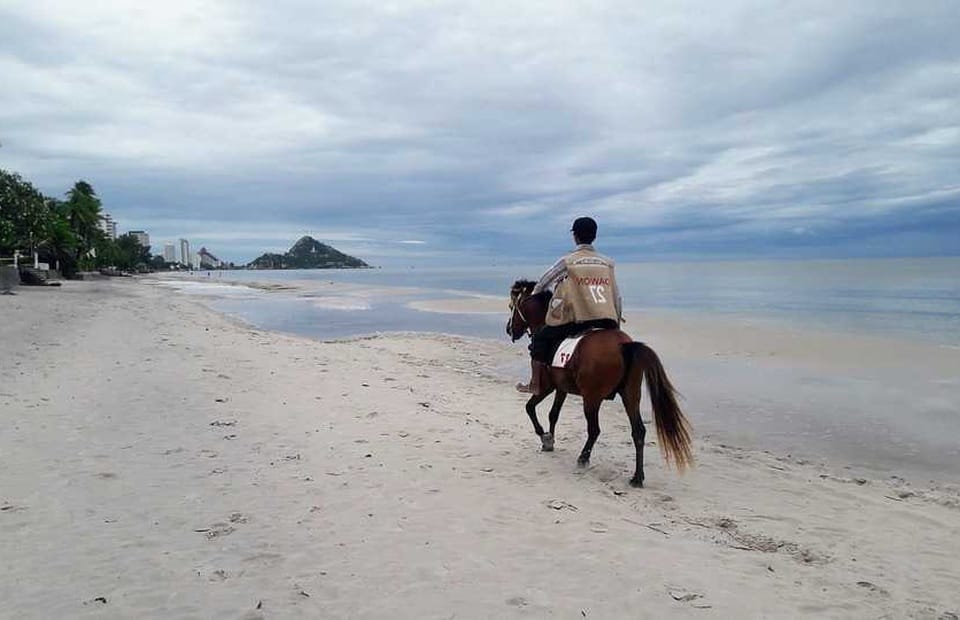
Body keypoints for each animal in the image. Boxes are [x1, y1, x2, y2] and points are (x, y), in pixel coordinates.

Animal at [507, 279, 693, 487]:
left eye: (512, 307)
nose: (509, 329)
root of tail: (623, 345)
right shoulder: (561, 388)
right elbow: (553, 414)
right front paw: (550, 440)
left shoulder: (548, 387)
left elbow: (530, 408)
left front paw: (544, 436)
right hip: (630, 395)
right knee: (638, 431)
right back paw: (637, 477)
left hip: (591, 399)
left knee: (594, 430)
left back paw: (583, 458)